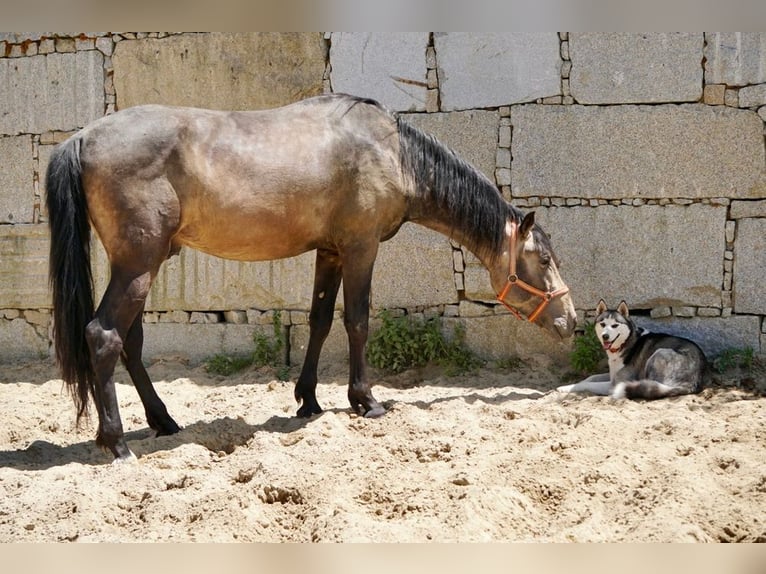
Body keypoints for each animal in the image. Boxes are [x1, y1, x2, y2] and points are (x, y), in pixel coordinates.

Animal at [46, 94, 576, 464]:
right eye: (543, 258)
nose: (570, 320)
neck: (391, 152)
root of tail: (82, 138)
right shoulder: (362, 248)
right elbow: (357, 321)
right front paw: (366, 401)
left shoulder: (331, 251)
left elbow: (320, 320)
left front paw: (309, 401)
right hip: (138, 266)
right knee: (104, 336)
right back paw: (117, 444)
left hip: (139, 268)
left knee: (130, 344)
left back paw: (163, 421)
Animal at [560, 302, 712, 400]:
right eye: (602, 324)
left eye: (615, 325)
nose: (605, 336)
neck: (625, 342)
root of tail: (694, 382)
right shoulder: (612, 374)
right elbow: (590, 377)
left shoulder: (614, 383)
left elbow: (586, 384)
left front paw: (564, 388)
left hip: (659, 353)